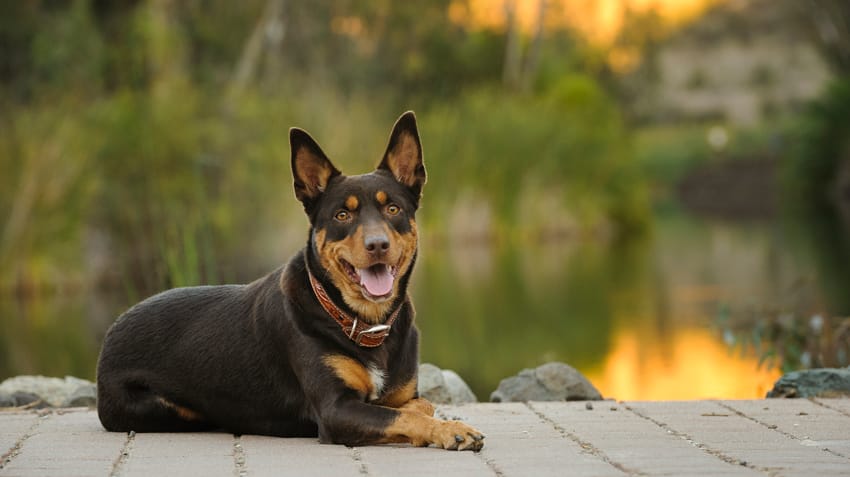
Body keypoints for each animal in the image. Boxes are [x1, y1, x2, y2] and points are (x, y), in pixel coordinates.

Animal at [94, 111, 484, 450]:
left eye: (393, 209)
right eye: (342, 215)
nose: (377, 245)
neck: (363, 323)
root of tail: (111, 331)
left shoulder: (402, 393)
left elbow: (417, 405)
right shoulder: (336, 410)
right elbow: (403, 415)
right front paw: (452, 430)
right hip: (165, 408)